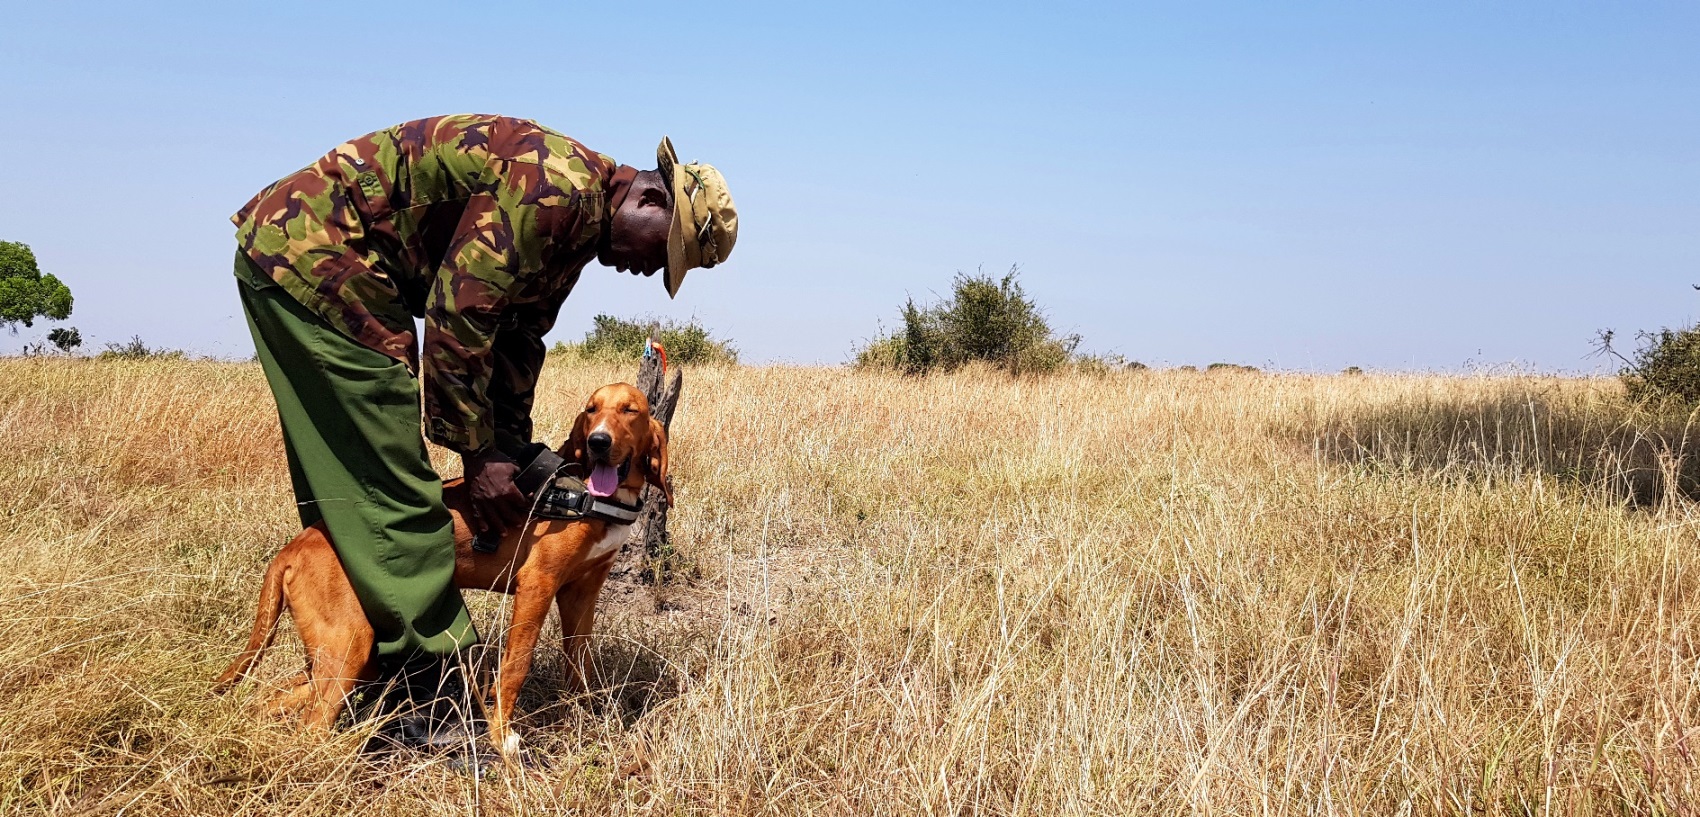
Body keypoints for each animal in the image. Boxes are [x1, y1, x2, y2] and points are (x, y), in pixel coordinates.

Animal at [209, 378, 666, 754]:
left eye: (630, 410)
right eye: (591, 409)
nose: (598, 442)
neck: (590, 497)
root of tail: (293, 547)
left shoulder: (581, 591)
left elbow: (580, 662)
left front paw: (586, 716)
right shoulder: (537, 584)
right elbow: (516, 666)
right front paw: (502, 735)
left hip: (343, 654)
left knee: (275, 698)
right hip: (348, 645)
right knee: (312, 728)